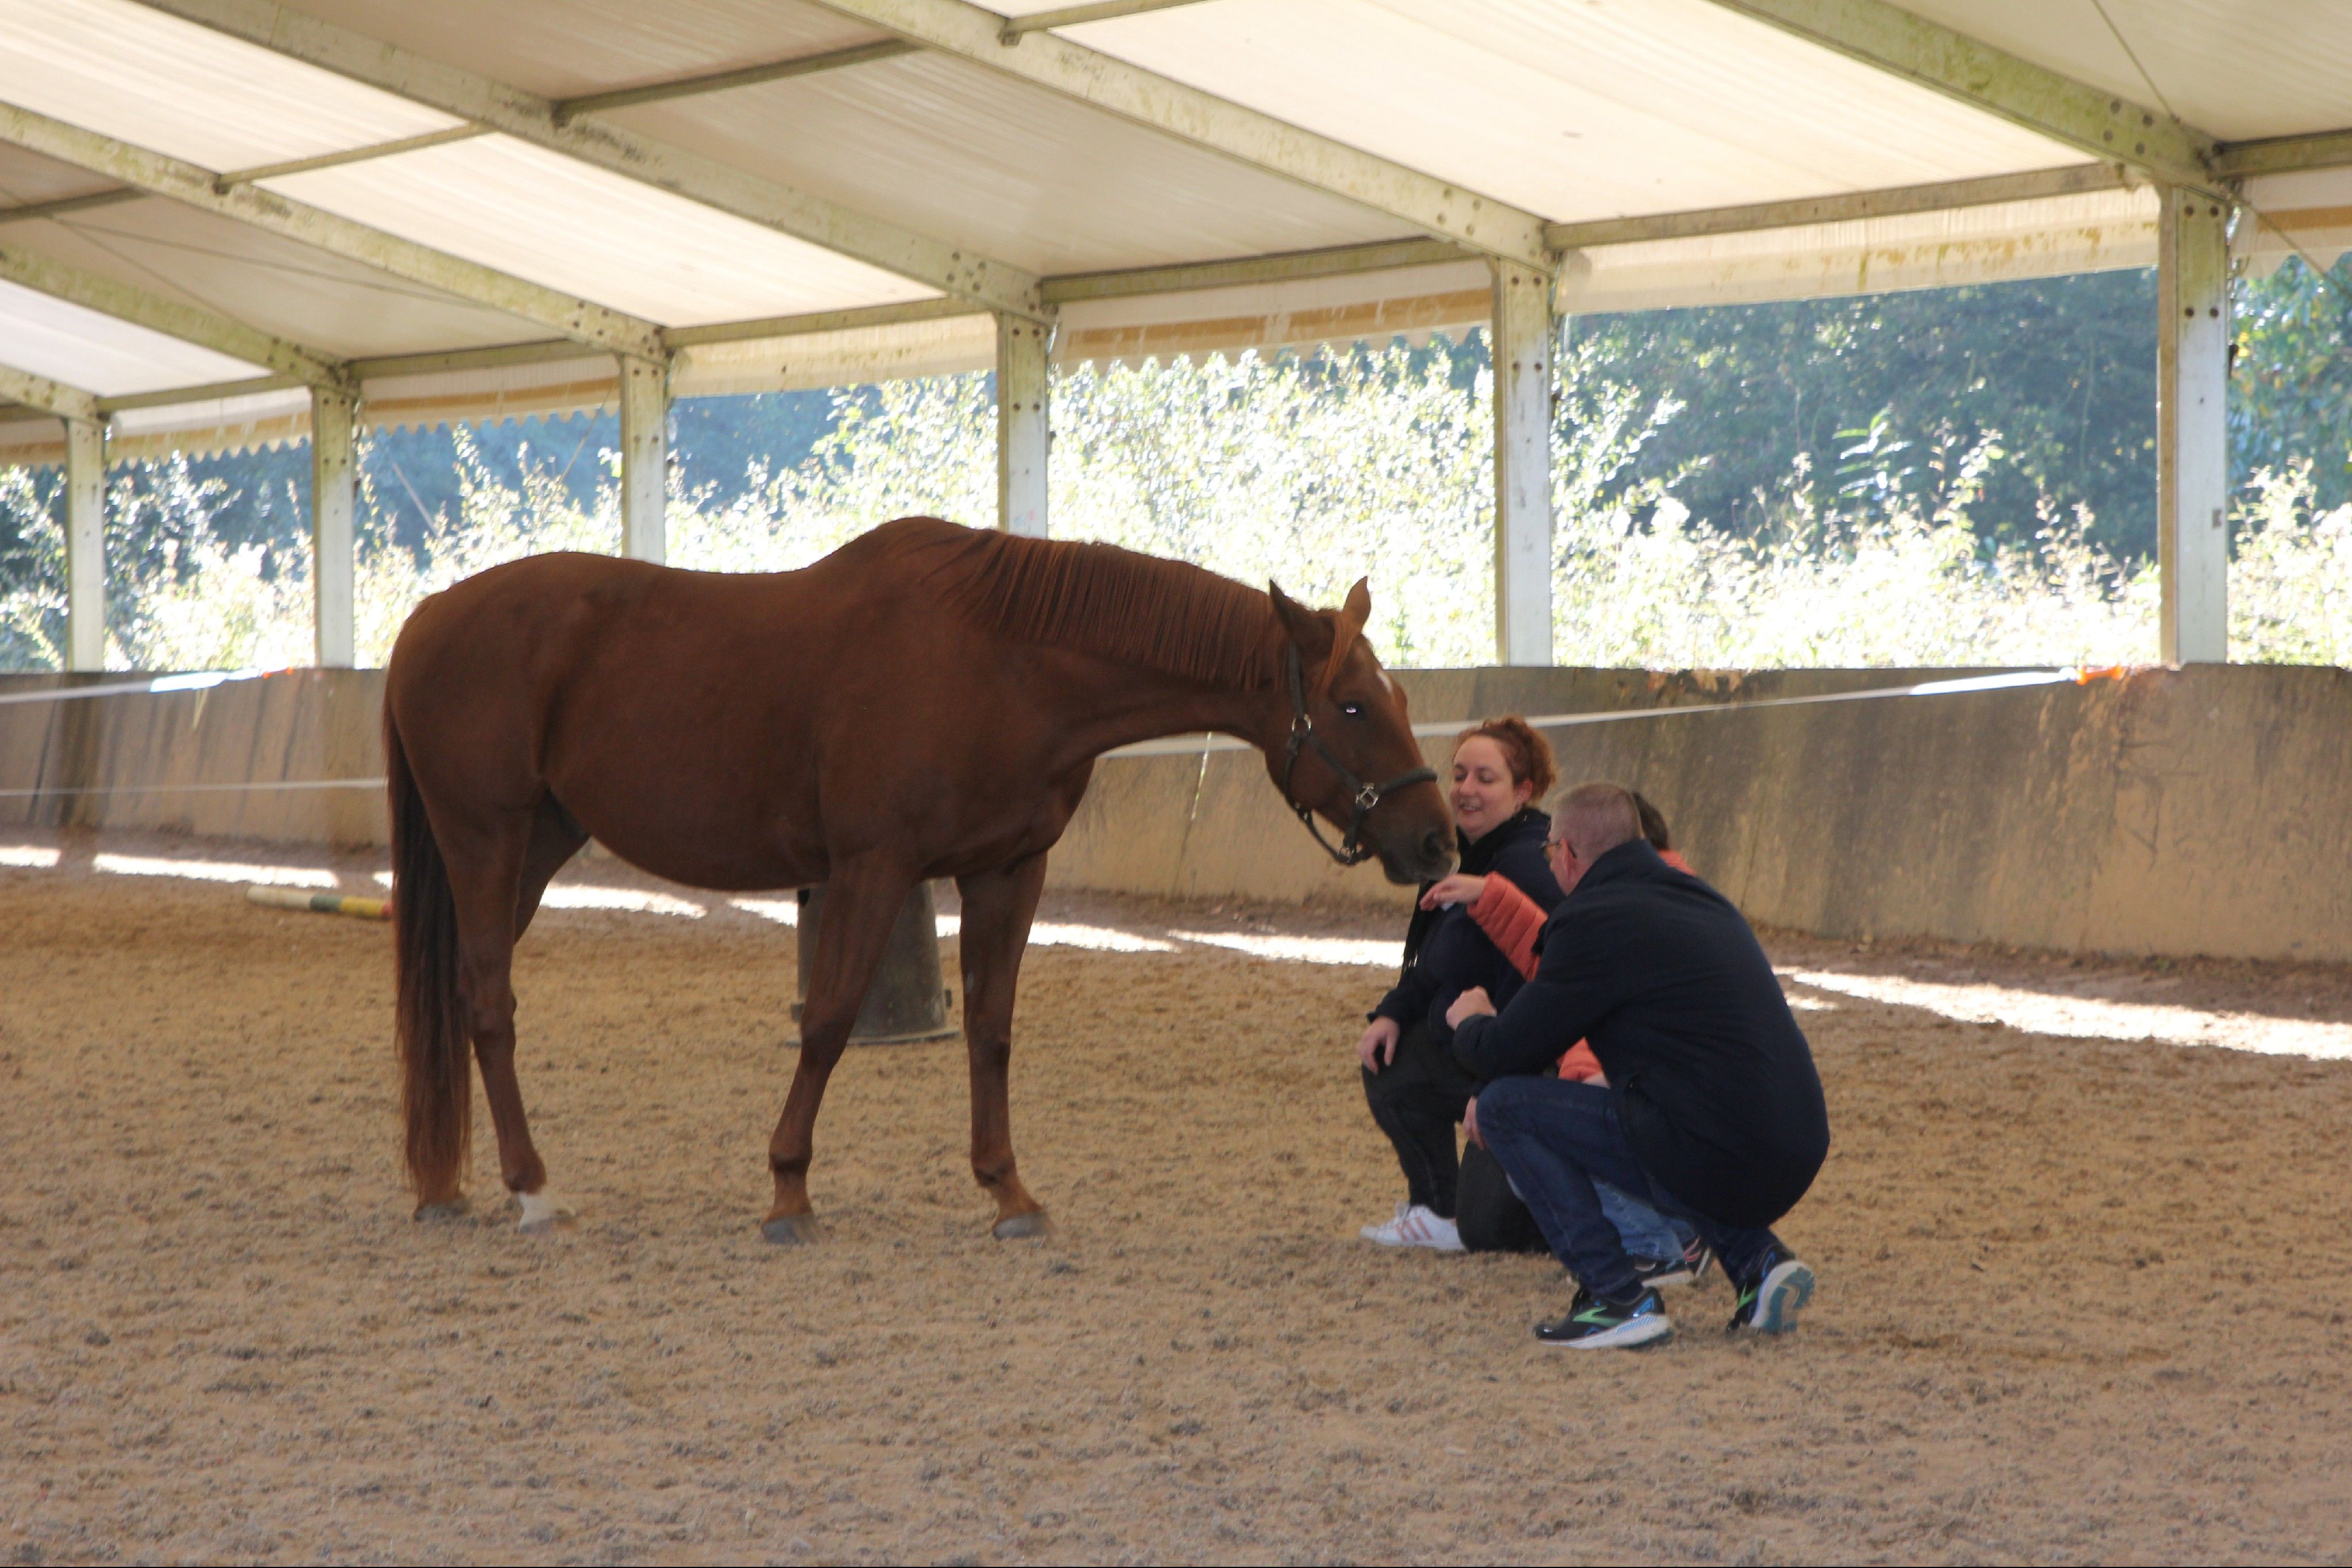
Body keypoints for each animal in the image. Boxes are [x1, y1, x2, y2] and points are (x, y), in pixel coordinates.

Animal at [385, 522, 1449, 1241]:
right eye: (1352, 706)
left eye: (1398, 697)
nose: (1437, 842)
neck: (1006, 662)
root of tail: (427, 619)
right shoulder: (874, 867)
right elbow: (828, 1022)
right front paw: (788, 1190)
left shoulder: (1005, 871)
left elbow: (989, 1027)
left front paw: (1008, 1190)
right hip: (485, 839)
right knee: (489, 1005)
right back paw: (531, 1189)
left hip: (535, 847)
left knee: (465, 999)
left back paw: (449, 1185)